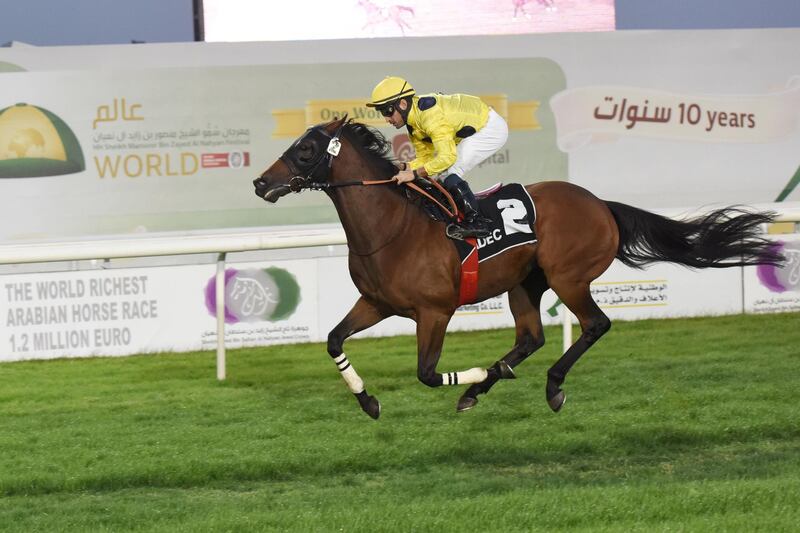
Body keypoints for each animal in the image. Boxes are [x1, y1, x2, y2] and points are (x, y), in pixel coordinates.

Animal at [255, 117, 780, 420]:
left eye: (306, 150)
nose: (261, 183)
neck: (394, 227)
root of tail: (601, 204)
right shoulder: (376, 303)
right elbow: (333, 340)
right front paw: (368, 401)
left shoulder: (435, 311)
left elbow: (427, 373)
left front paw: (471, 376)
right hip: (525, 284)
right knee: (531, 337)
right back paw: (485, 384)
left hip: (569, 277)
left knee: (595, 324)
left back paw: (547, 386)